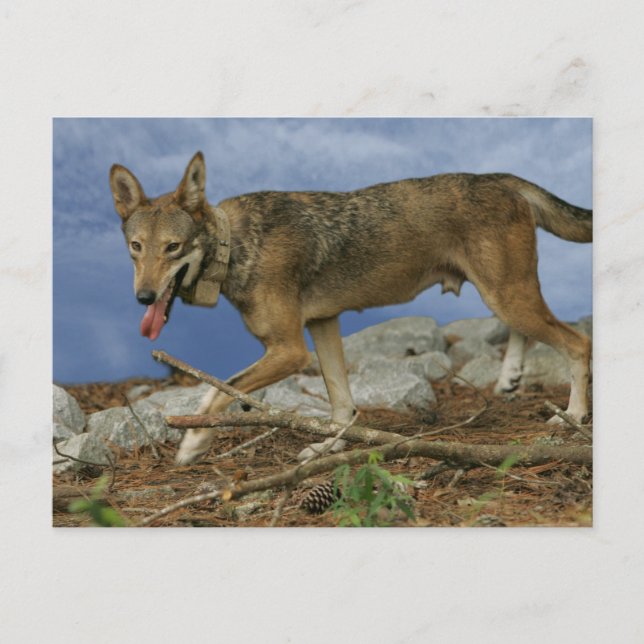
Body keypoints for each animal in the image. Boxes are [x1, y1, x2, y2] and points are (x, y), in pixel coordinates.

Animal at [110, 151, 592, 465]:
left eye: (172, 248)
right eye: (136, 248)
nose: (144, 298)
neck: (237, 246)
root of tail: (502, 177)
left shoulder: (290, 351)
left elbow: (219, 390)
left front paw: (192, 444)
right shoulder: (323, 326)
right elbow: (341, 407)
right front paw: (329, 450)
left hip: (507, 295)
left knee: (577, 343)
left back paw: (573, 417)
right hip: (504, 296)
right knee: (533, 332)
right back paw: (510, 377)